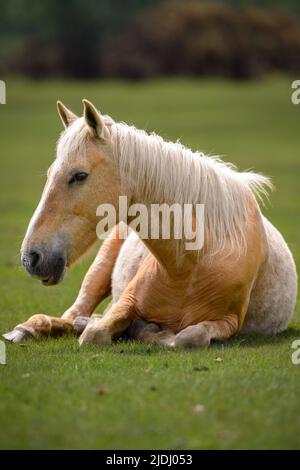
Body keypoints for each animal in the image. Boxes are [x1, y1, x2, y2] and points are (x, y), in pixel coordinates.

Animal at [2, 100, 298, 348]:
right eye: (51, 172)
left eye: (79, 175)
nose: (31, 257)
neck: (190, 265)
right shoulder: (126, 303)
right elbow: (96, 333)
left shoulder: (229, 322)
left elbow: (187, 337)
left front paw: (147, 331)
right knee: (70, 315)